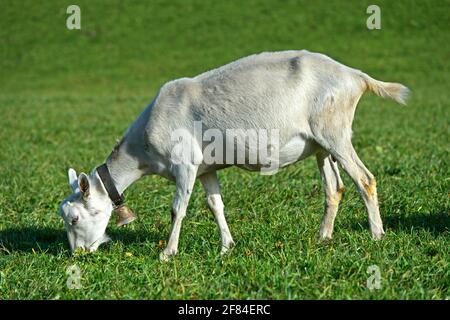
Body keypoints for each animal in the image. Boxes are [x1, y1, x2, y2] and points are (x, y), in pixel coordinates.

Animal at [59, 50, 408, 260]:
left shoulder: (185, 164)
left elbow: (177, 209)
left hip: (335, 131)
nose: (78, 254)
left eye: (74, 218)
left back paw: (377, 236)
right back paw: (323, 237)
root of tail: (356, 76)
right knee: (334, 187)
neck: (142, 148)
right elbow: (216, 204)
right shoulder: (205, 169)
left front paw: (168, 252)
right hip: (321, 144)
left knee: (365, 179)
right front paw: (227, 246)